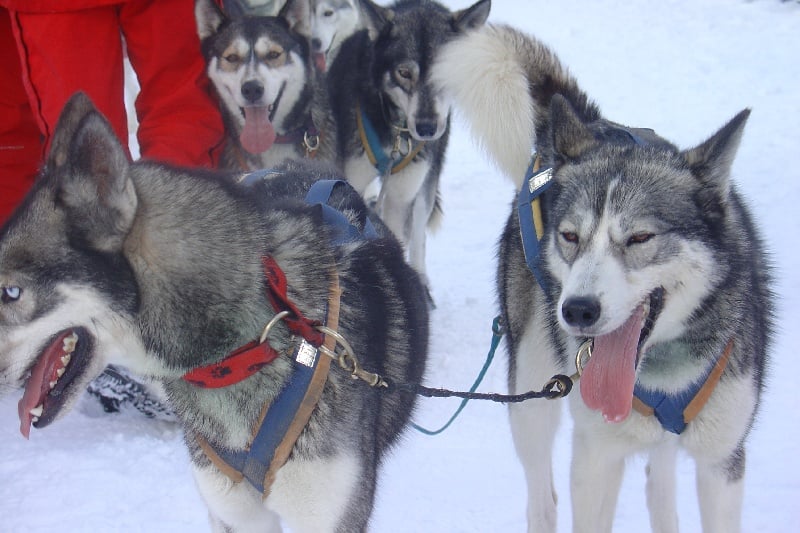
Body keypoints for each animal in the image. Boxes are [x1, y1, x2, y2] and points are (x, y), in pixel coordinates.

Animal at [327, 0, 491, 294]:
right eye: (404, 73)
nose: (426, 128)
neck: (396, 132)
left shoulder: (401, 195)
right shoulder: (350, 179)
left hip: (426, 181)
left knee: (418, 228)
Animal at [433, 24, 772, 532]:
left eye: (639, 237)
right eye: (571, 236)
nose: (576, 310)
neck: (659, 375)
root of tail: (591, 127)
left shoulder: (722, 464)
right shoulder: (595, 459)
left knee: (659, 481)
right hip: (530, 390)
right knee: (542, 497)